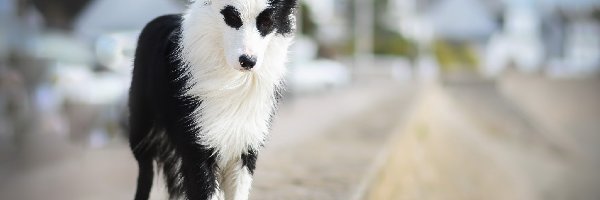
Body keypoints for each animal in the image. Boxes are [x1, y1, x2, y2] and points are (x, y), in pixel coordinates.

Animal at [128, 0, 296, 199]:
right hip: (143, 134)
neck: (231, 82)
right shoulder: (196, 150)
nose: (247, 61)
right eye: (232, 17)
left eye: (267, 22)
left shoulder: (245, 149)